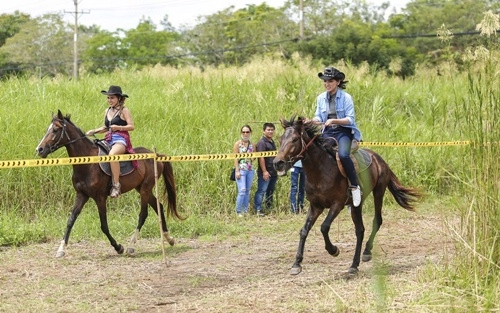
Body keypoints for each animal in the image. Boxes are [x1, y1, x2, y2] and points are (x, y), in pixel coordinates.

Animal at [36, 109, 183, 256]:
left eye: (55, 129)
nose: (39, 150)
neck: (87, 163)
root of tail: (156, 155)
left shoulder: (100, 198)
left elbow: (104, 225)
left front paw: (118, 247)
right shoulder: (81, 195)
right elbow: (70, 220)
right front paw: (61, 249)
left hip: (145, 189)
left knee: (143, 214)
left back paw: (131, 246)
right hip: (142, 188)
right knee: (159, 206)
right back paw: (169, 239)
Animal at [272, 116, 420, 272]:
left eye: (294, 139)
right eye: (281, 139)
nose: (278, 163)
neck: (321, 170)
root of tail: (379, 159)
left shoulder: (337, 204)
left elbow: (324, 227)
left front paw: (333, 250)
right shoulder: (316, 206)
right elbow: (304, 230)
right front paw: (297, 263)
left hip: (378, 192)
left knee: (377, 221)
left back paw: (365, 253)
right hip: (356, 205)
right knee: (360, 230)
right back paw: (355, 264)